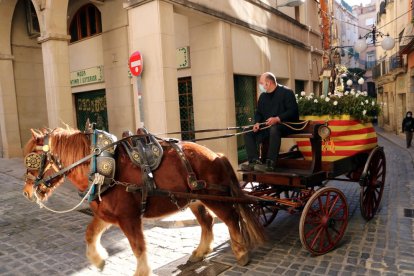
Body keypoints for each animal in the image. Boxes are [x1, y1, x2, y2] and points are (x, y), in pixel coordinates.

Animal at [22, 128, 266, 276]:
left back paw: (241, 252)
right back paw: (200, 252)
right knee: (207, 222)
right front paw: (98, 260)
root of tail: (216, 154)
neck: (98, 165)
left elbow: (138, 247)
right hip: (195, 199)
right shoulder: (106, 215)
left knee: (231, 219)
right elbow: (90, 234)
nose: (26, 191)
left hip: (213, 197)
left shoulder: (128, 217)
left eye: (32, 158)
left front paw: (141, 271)